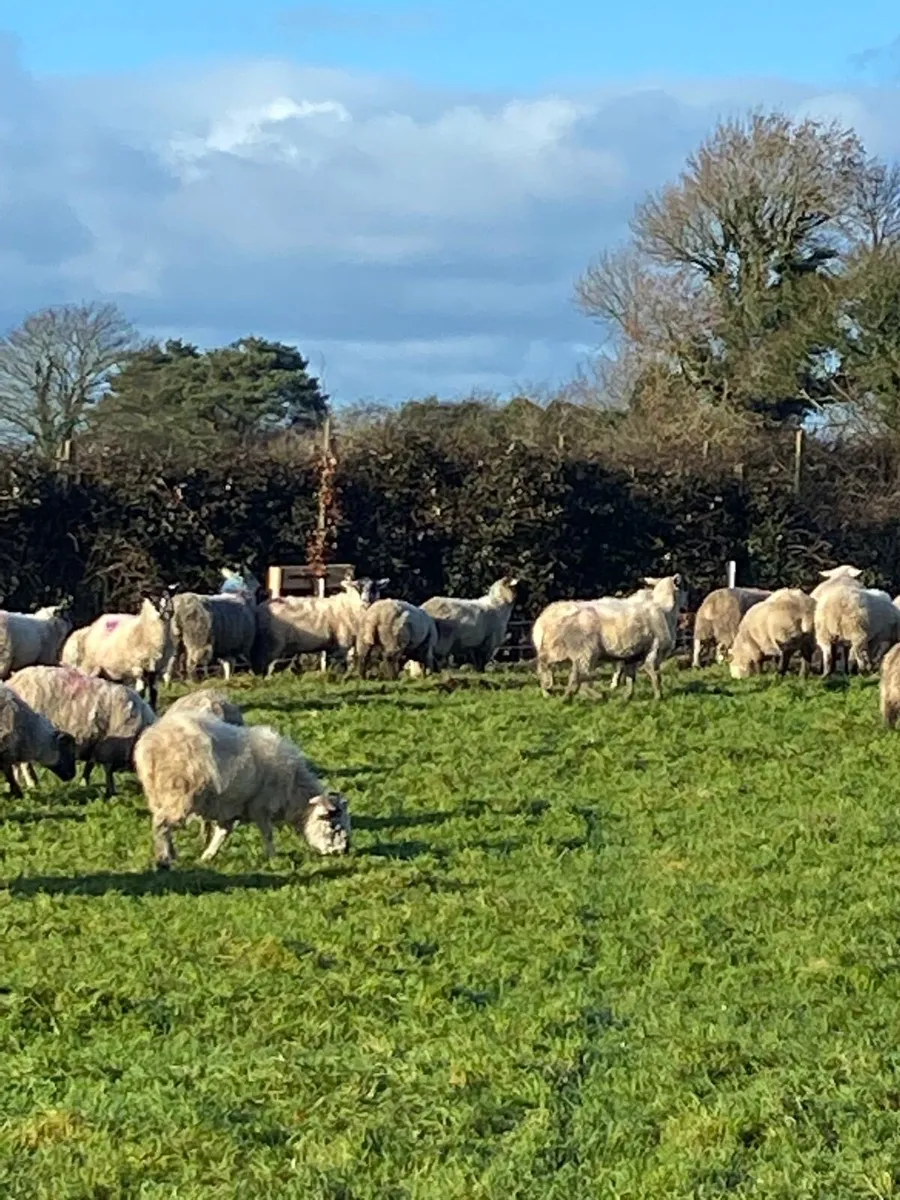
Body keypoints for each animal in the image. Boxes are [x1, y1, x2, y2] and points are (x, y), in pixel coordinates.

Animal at [7, 665, 156, 797]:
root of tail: (12, 681)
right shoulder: (109, 747)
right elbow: (107, 771)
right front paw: (110, 791)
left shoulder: (97, 743)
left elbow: (90, 765)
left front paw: (84, 783)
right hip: (29, 733)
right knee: (25, 763)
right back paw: (33, 783)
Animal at [133, 712, 351, 868]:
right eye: (334, 825)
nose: (344, 852)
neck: (293, 791)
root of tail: (151, 742)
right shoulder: (260, 806)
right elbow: (267, 833)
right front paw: (273, 858)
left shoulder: (231, 808)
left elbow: (222, 834)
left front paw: (207, 856)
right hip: (179, 793)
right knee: (161, 824)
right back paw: (164, 858)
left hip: (158, 795)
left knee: (163, 824)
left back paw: (171, 853)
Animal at [252, 576, 386, 677]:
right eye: (358, 586)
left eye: (374, 587)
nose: (366, 600)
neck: (349, 605)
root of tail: (259, 608)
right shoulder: (343, 642)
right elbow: (340, 666)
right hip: (272, 643)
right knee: (263, 665)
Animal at [533, 574, 685, 701]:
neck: (664, 608)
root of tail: (542, 620)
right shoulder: (655, 649)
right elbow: (654, 674)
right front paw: (659, 697)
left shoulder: (631, 654)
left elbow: (630, 677)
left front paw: (627, 696)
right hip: (583, 650)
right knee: (573, 673)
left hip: (565, 650)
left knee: (567, 671)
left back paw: (556, 693)